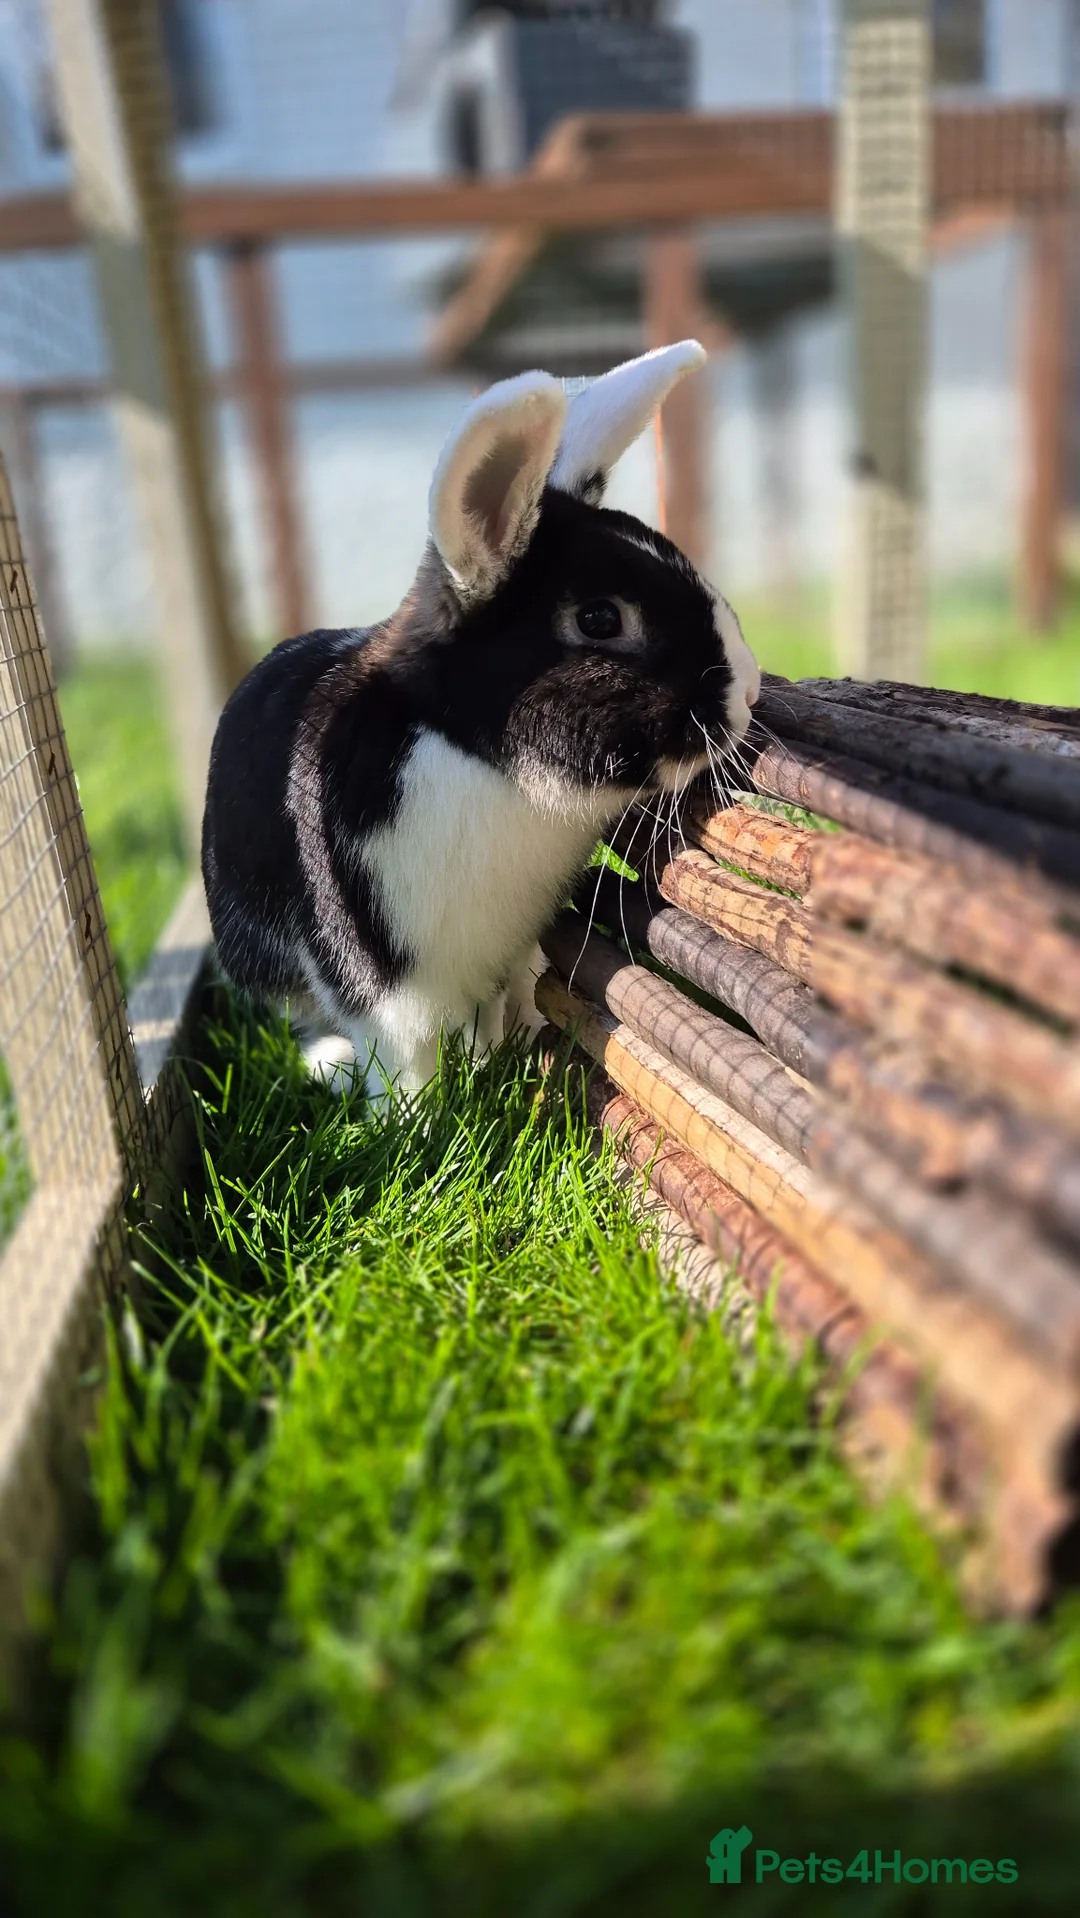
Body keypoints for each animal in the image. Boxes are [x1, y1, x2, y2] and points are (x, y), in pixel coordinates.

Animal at [202, 339, 760, 1096]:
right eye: (600, 619)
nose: (749, 692)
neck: (484, 764)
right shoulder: (386, 987)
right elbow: (408, 1064)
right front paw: (418, 1120)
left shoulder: (518, 949)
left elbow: (518, 1001)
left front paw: (520, 1056)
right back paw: (332, 1066)